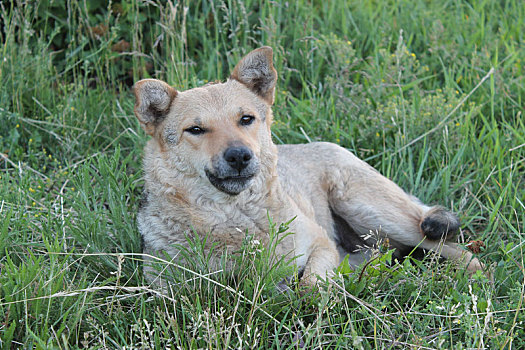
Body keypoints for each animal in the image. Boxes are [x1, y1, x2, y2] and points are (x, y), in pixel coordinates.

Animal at [132, 46, 484, 288]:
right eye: (196, 129)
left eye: (246, 119)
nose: (239, 156)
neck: (236, 217)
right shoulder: (165, 286)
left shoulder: (320, 244)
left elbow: (311, 286)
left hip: (375, 211)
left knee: (451, 246)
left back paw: (474, 277)